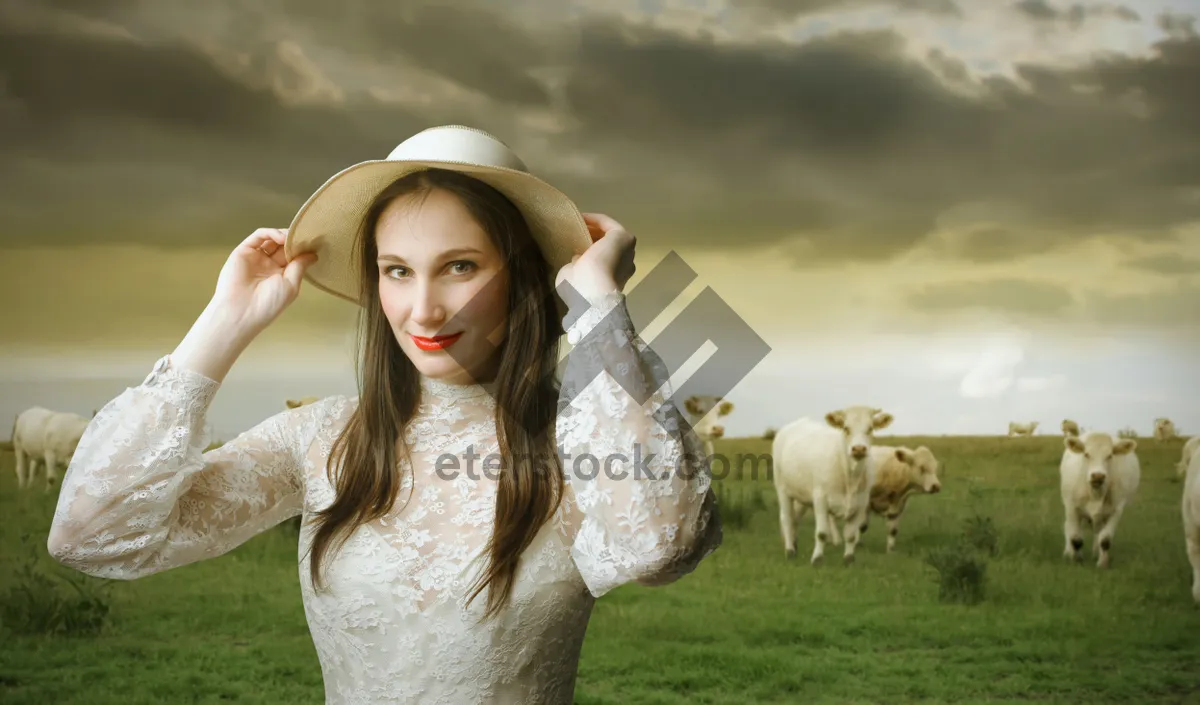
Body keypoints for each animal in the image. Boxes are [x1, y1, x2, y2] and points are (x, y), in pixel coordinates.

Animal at [772, 405, 897, 563]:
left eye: (870, 428)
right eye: (846, 428)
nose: (859, 449)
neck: (850, 476)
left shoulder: (861, 502)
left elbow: (851, 535)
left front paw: (849, 559)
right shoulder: (820, 499)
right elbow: (821, 533)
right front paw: (817, 559)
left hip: (801, 494)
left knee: (795, 519)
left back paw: (795, 546)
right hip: (782, 489)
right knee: (787, 519)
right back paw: (789, 551)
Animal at [1065, 431, 1137, 570]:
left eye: (1110, 456)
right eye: (1086, 454)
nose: (1098, 476)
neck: (1096, 494)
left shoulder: (1116, 510)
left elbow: (1105, 540)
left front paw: (1103, 563)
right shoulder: (1072, 507)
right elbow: (1075, 539)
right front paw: (1076, 559)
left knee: (1098, 533)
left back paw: (1096, 553)